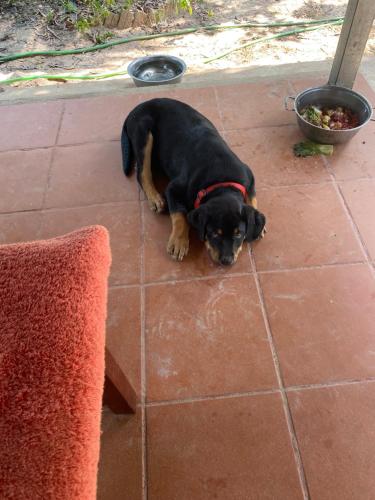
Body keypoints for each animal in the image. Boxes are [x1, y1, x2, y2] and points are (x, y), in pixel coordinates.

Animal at [122, 96, 266, 266]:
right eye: (214, 233)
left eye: (239, 234)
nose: (226, 261)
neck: (222, 181)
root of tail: (135, 109)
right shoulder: (173, 189)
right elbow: (179, 214)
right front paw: (178, 241)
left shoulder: (249, 177)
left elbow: (252, 199)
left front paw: (259, 226)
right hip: (143, 132)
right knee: (143, 173)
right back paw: (155, 198)